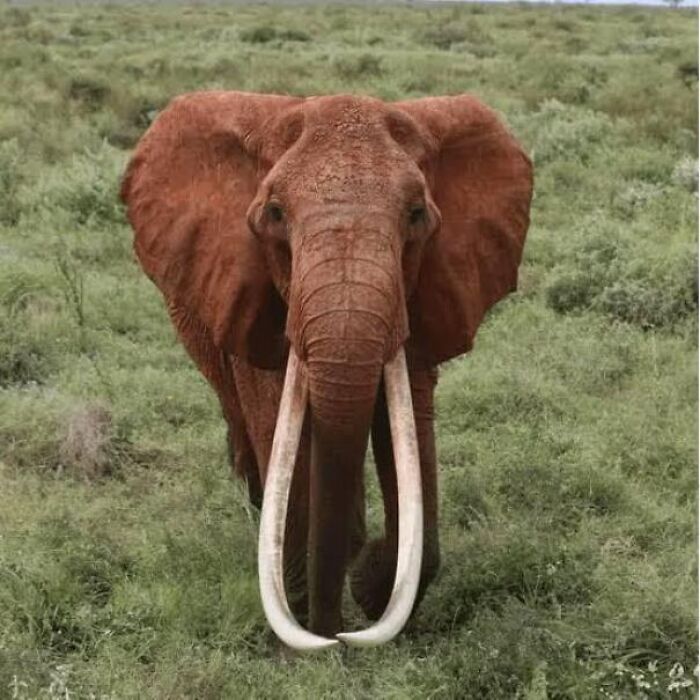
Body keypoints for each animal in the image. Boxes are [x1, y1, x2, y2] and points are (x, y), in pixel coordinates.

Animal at [121, 91, 533, 650]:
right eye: (274, 214)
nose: (334, 636)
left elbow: (405, 431)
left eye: (416, 215)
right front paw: (305, 638)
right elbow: (276, 420)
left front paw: (369, 582)